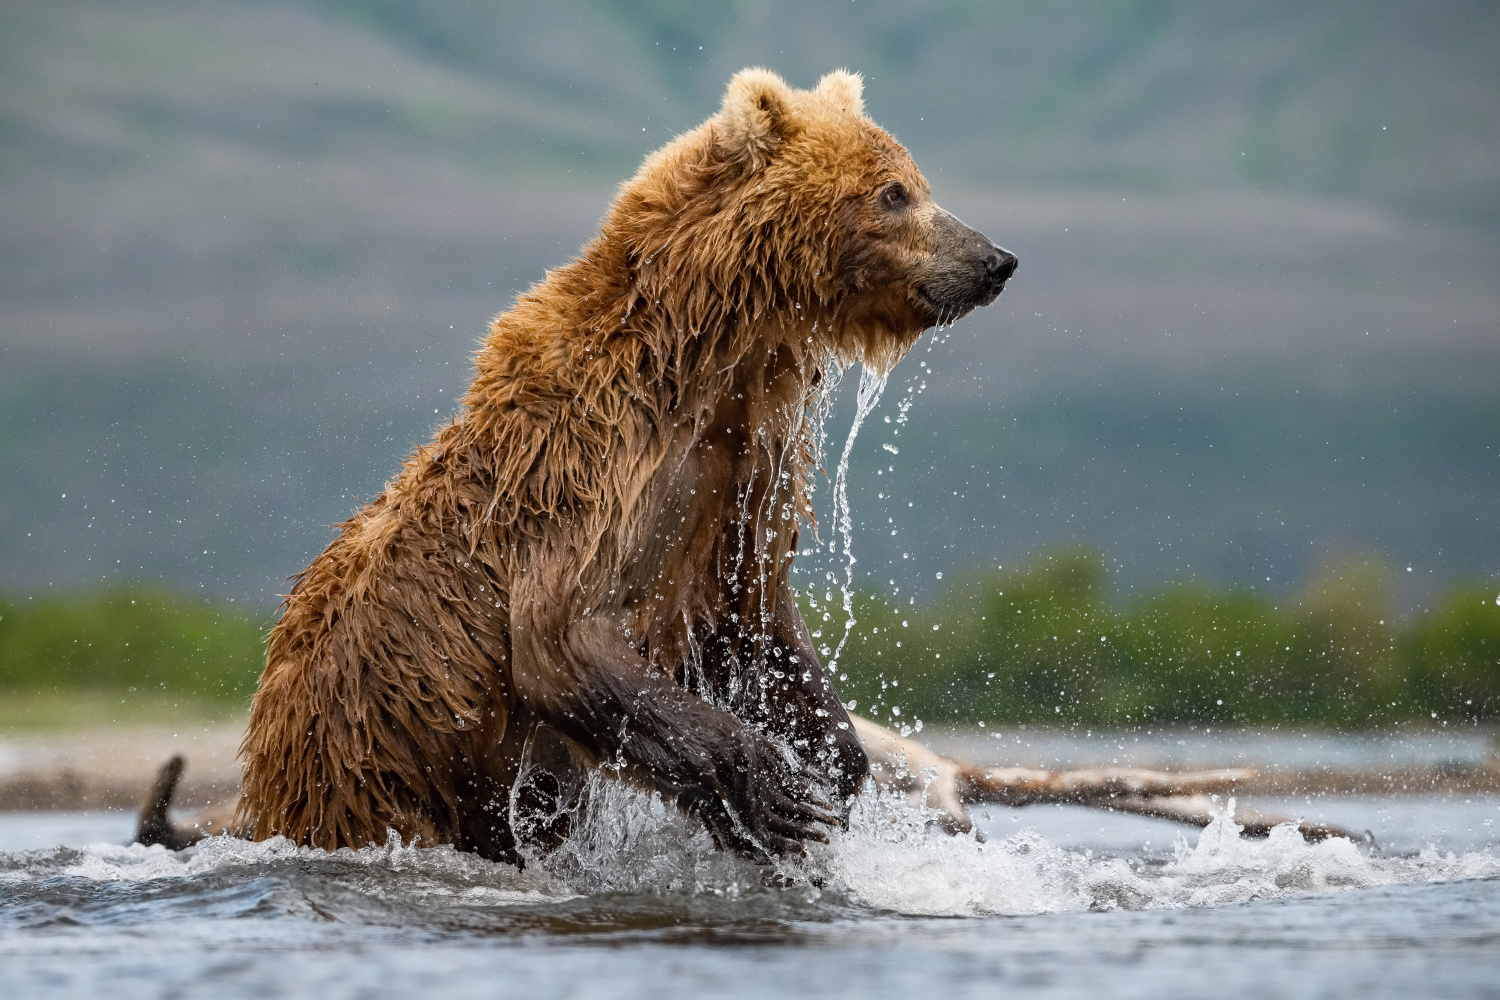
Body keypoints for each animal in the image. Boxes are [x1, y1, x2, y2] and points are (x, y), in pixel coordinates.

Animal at [146, 70, 1014, 863]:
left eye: (915, 181)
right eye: (894, 192)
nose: (995, 259)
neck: (710, 361)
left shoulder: (743, 481)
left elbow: (754, 616)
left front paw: (832, 760)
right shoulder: (595, 470)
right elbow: (562, 636)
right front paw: (772, 794)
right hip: (369, 758)